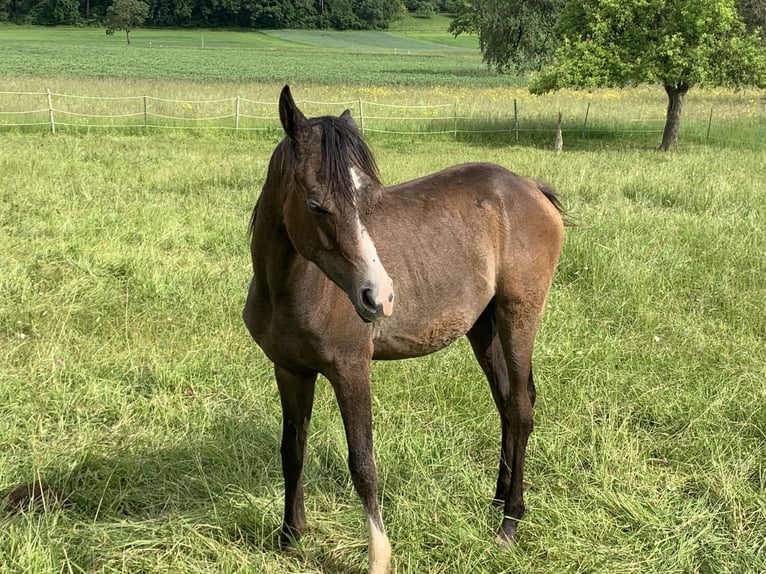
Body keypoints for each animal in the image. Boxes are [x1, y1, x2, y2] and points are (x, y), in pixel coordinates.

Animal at [243, 86, 568, 574]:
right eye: (317, 205)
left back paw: (509, 523)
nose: (379, 296)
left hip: (518, 316)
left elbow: (363, 463)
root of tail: (531, 187)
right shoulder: (290, 369)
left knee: (521, 409)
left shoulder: (351, 370)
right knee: (507, 404)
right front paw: (290, 536)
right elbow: (292, 449)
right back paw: (497, 501)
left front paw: (379, 556)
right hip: (483, 327)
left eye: (370, 203)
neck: (289, 289)